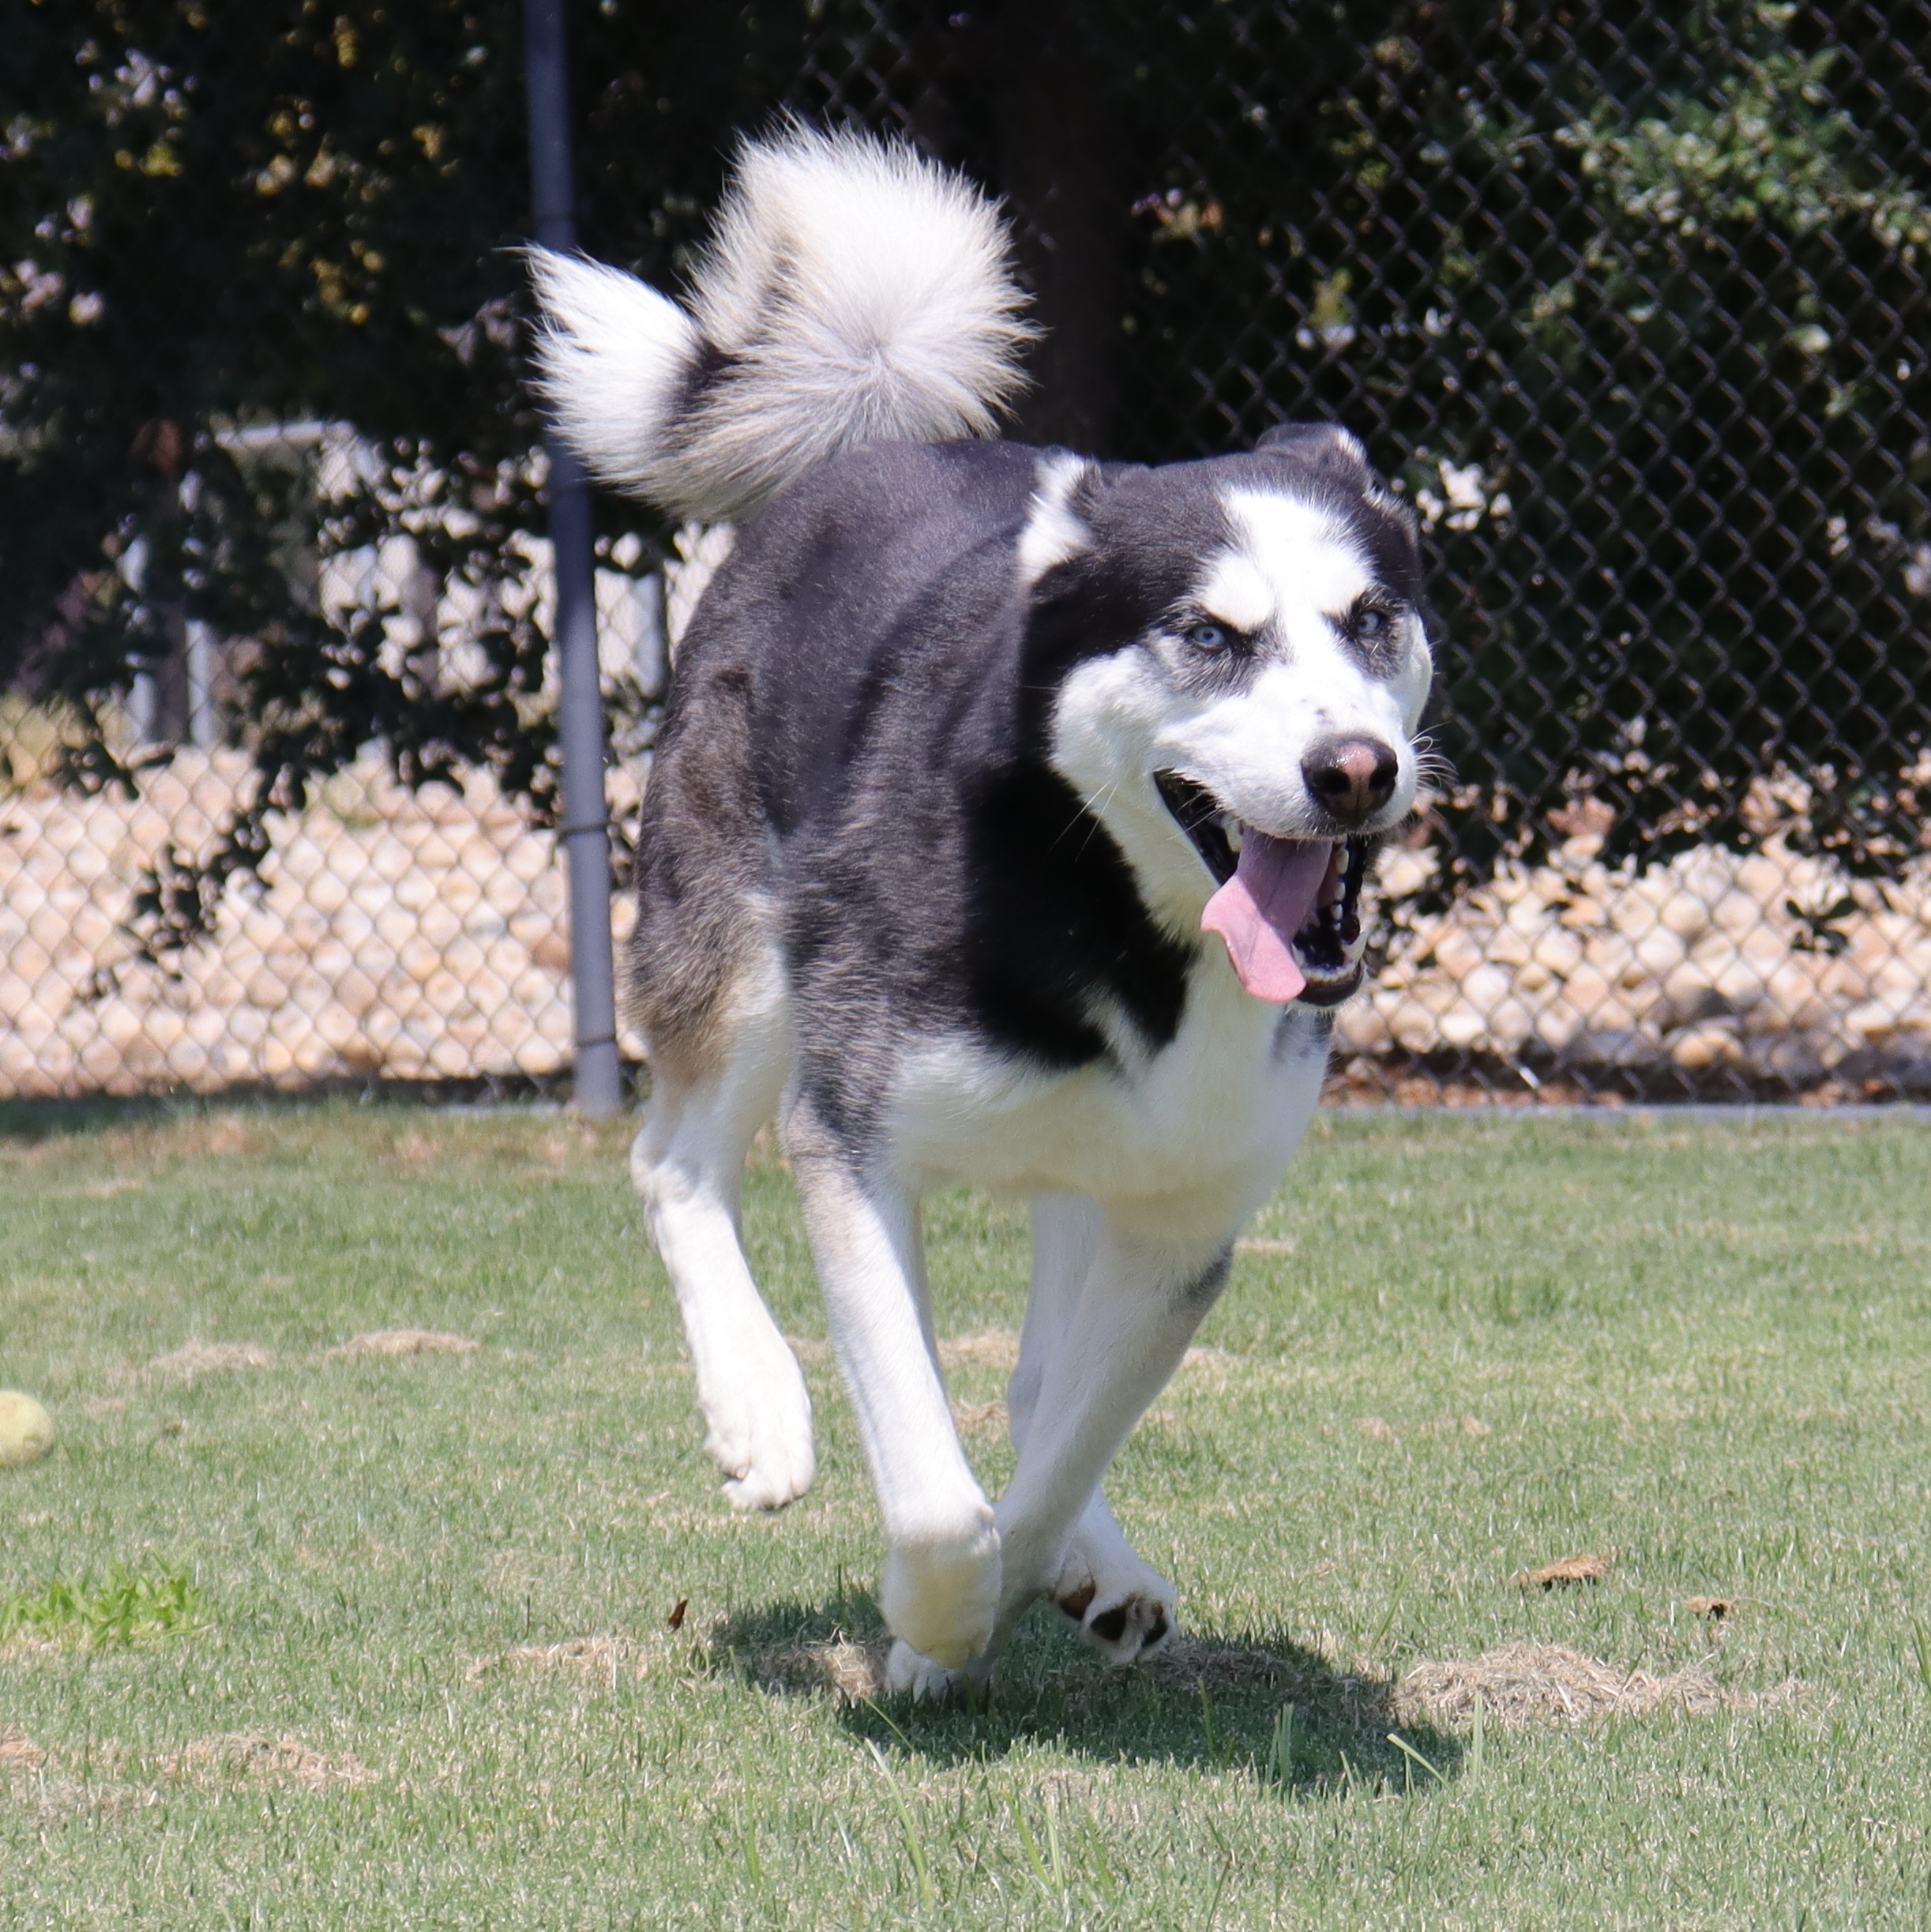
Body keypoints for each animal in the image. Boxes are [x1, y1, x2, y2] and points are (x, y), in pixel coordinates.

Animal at [528, 124, 1437, 1692]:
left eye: (1370, 619)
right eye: (1210, 635)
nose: (1354, 768)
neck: (1112, 920)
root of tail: (869, 447)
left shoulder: (1181, 1217)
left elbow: (1056, 1449)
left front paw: (1046, 1568)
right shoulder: (853, 1143)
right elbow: (941, 1496)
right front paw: (934, 1628)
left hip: (1091, 1157)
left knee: (1035, 1379)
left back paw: (1095, 1560)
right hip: (743, 960)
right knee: (674, 1165)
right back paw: (758, 1408)